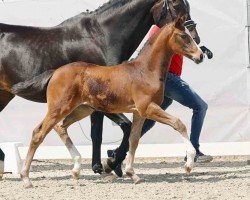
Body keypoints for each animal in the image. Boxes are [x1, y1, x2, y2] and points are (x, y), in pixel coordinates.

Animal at [0, 0, 196, 173]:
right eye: (177, 5)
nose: (196, 37)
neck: (101, 37)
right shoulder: (104, 102)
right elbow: (113, 130)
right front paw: (109, 163)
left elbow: (108, 132)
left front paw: (107, 164)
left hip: (5, 95)